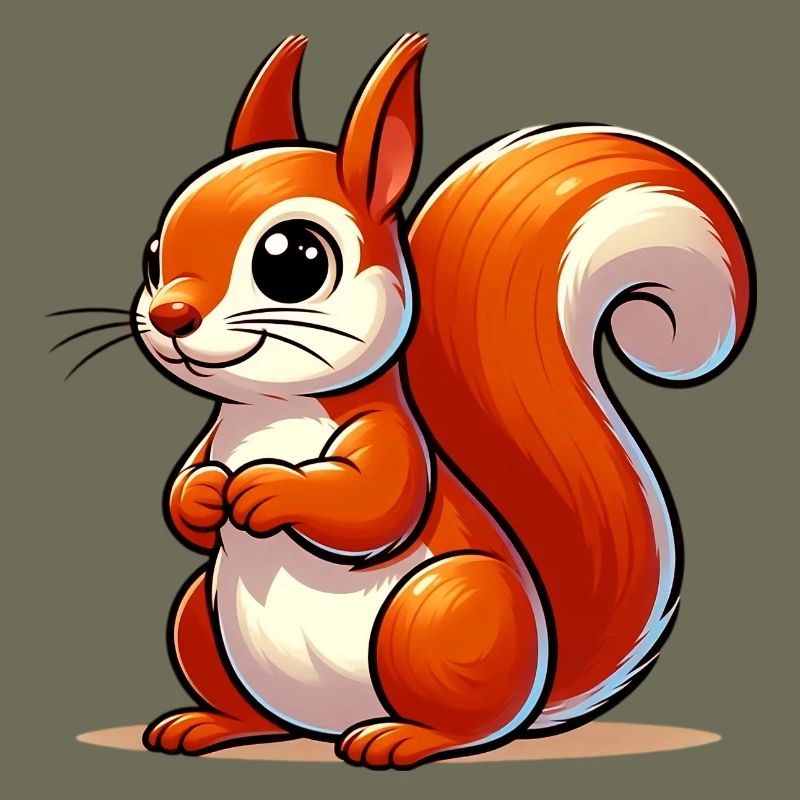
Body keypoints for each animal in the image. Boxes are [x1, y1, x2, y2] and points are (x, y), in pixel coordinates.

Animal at [129, 34, 754, 767]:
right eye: (152, 256)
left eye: (294, 259)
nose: (170, 315)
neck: (271, 410)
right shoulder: (210, 440)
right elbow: (183, 495)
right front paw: (204, 495)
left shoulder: (389, 439)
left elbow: (375, 504)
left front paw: (266, 489)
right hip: (200, 616)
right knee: (253, 708)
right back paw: (208, 724)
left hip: (439, 611)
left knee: (472, 726)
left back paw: (401, 737)